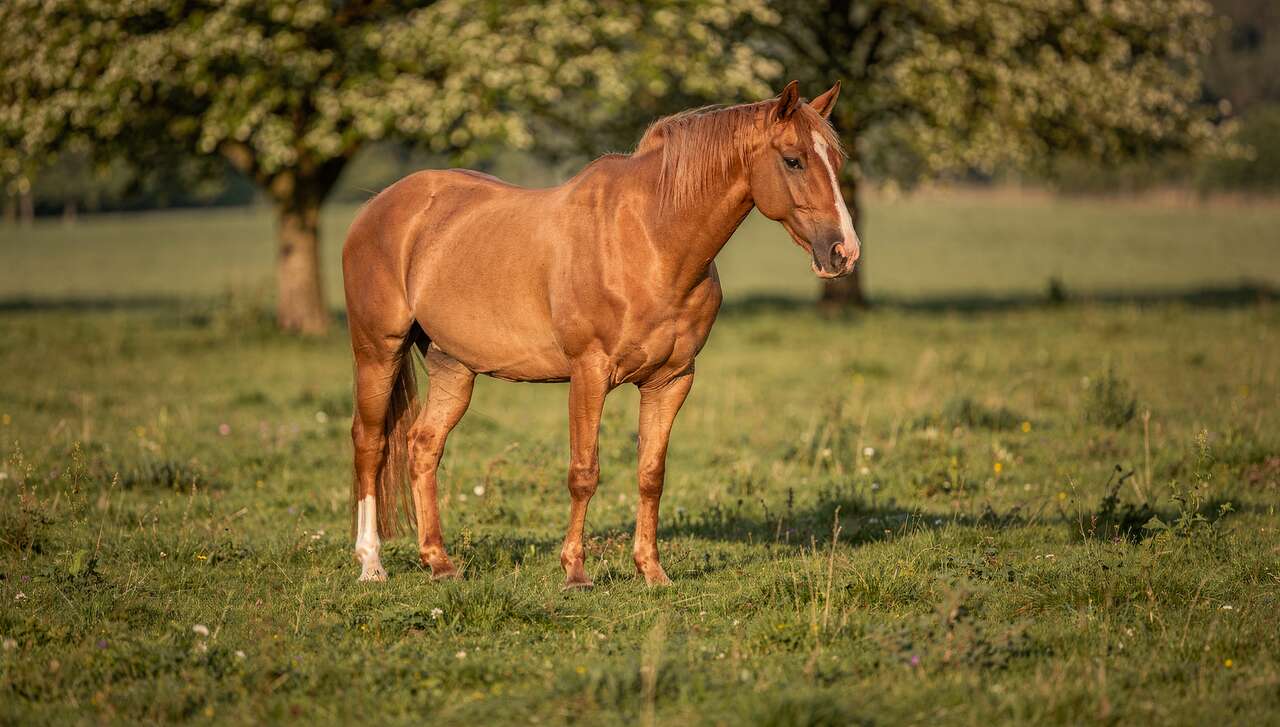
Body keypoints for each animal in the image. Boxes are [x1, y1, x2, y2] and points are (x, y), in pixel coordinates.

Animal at [341, 80, 859, 587]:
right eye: (792, 159)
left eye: (836, 162)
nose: (844, 252)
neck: (650, 240)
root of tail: (377, 206)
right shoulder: (589, 373)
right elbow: (583, 472)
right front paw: (575, 572)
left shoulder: (672, 380)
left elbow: (651, 474)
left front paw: (652, 571)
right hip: (378, 352)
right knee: (370, 443)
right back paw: (371, 564)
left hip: (454, 365)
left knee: (423, 446)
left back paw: (439, 562)